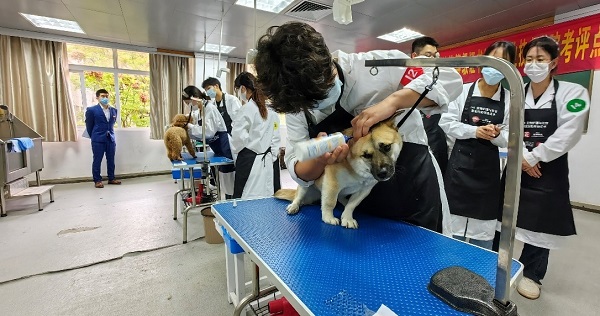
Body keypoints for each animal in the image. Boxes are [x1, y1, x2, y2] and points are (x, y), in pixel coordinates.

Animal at [276, 115, 404, 228]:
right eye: (366, 155)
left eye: (387, 147)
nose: (383, 173)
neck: (357, 172)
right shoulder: (332, 184)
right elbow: (330, 202)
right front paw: (328, 218)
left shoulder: (364, 190)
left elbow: (352, 205)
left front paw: (347, 218)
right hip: (305, 185)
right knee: (298, 197)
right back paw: (294, 206)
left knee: (342, 198)